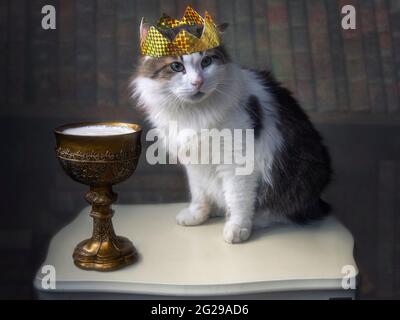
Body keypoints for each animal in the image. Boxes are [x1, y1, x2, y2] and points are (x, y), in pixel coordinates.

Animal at [131, 27, 332, 244]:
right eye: (176, 66)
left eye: (206, 62)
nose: (198, 82)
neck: (195, 113)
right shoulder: (194, 162)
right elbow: (198, 193)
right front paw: (197, 214)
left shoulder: (236, 161)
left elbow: (238, 199)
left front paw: (237, 228)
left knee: (280, 211)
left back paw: (254, 218)